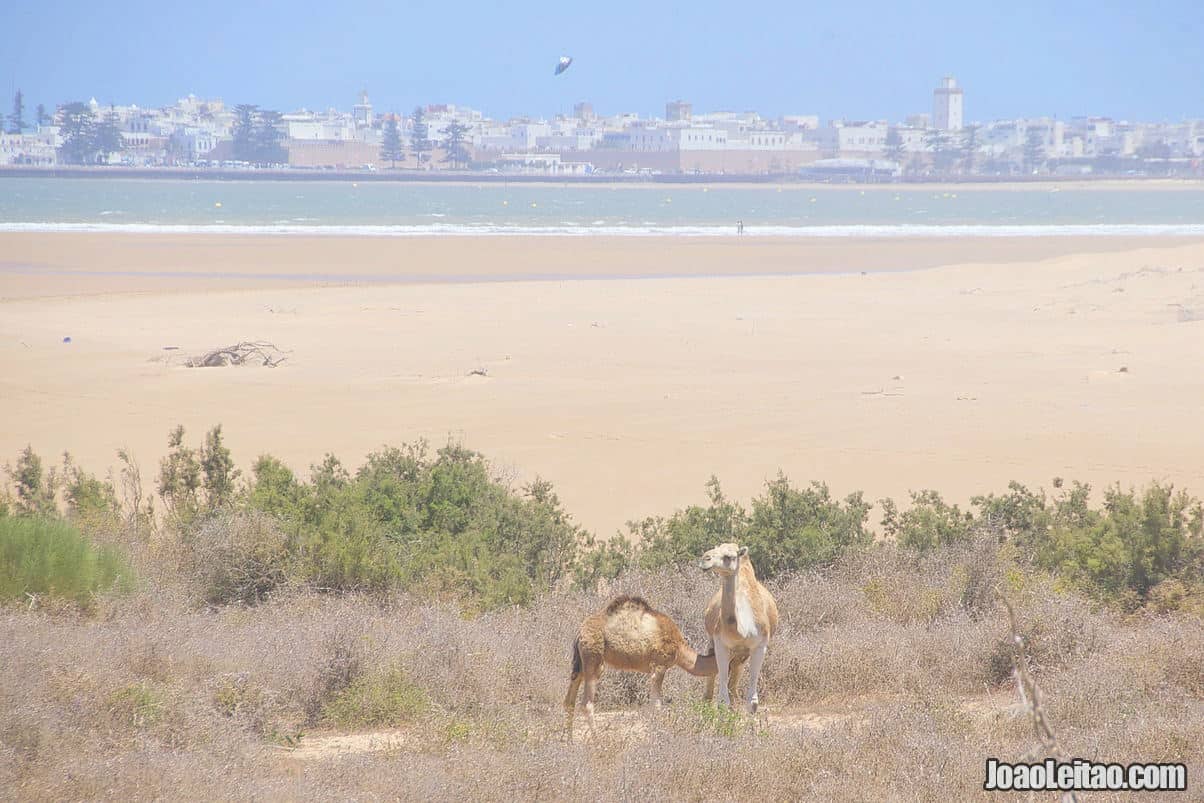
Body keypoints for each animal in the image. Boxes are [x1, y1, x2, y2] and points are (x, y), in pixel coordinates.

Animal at [561, 594, 712, 736]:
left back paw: (568, 741)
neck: (680, 649)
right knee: (587, 704)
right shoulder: (659, 666)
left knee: (569, 701)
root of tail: (580, 633)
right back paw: (597, 741)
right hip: (593, 658)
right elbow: (656, 706)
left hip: (580, 663)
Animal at [698, 544, 780, 712]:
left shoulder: (760, 644)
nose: (705, 559)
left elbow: (752, 702)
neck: (741, 631)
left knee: (734, 680)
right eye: (715, 548)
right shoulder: (720, 643)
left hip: (742, 655)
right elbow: (723, 700)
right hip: (713, 642)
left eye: (729, 557)